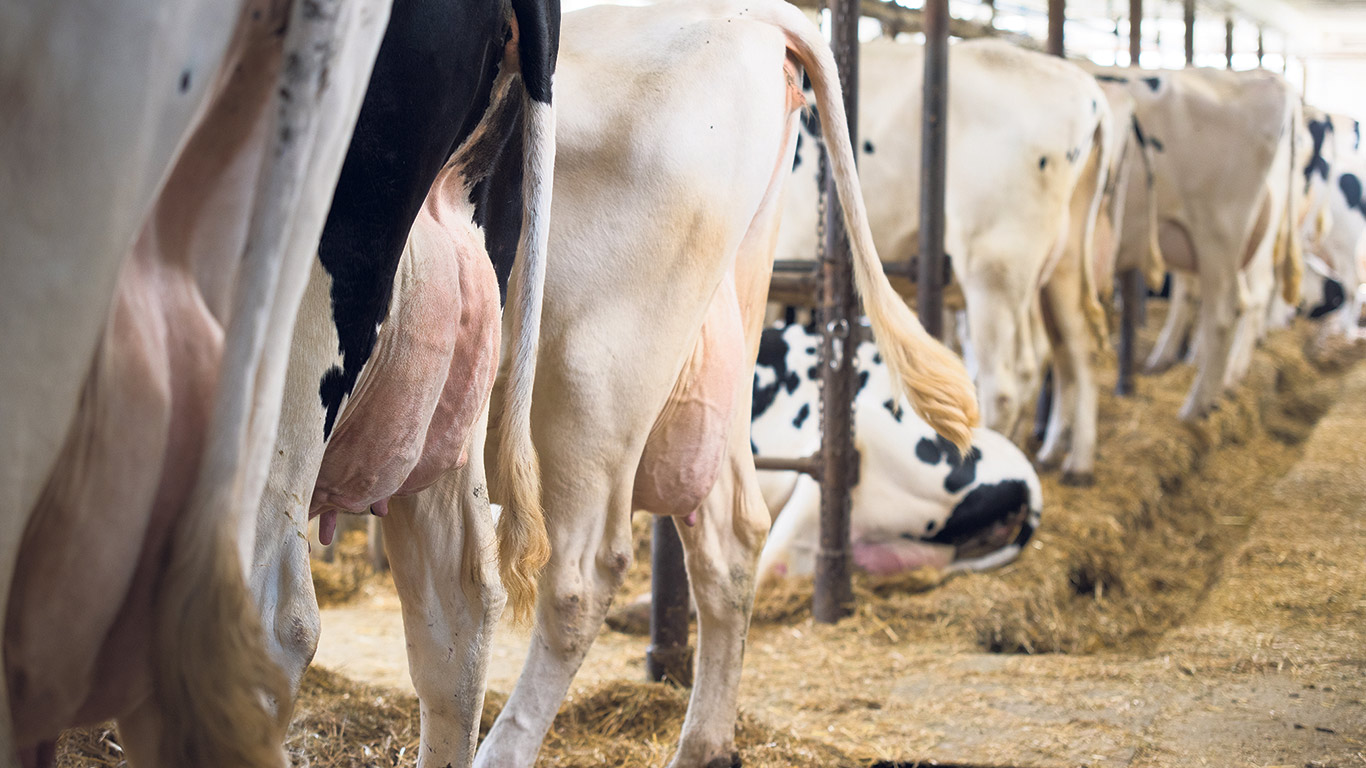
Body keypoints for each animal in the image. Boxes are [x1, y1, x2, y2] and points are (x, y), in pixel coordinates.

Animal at [472, 2, 983, 759]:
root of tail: (748, 14)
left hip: (592, 375)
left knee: (581, 576)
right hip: (720, 341)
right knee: (731, 535)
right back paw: (704, 744)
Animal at [781, 38, 1109, 481]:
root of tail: (1084, 87)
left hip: (992, 268)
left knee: (1006, 383)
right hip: (1063, 261)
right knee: (1073, 347)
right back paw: (1071, 460)